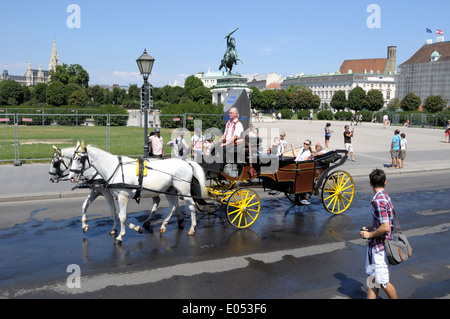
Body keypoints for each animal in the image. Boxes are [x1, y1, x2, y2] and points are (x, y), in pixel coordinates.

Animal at [67, 144, 208, 244]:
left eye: (79, 159)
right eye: (70, 160)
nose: (71, 177)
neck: (114, 168)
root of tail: (187, 163)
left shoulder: (122, 197)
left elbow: (122, 217)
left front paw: (120, 236)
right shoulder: (114, 196)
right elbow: (118, 214)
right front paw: (135, 228)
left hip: (184, 190)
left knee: (191, 206)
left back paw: (192, 228)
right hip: (169, 190)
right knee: (173, 206)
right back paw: (163, 225)